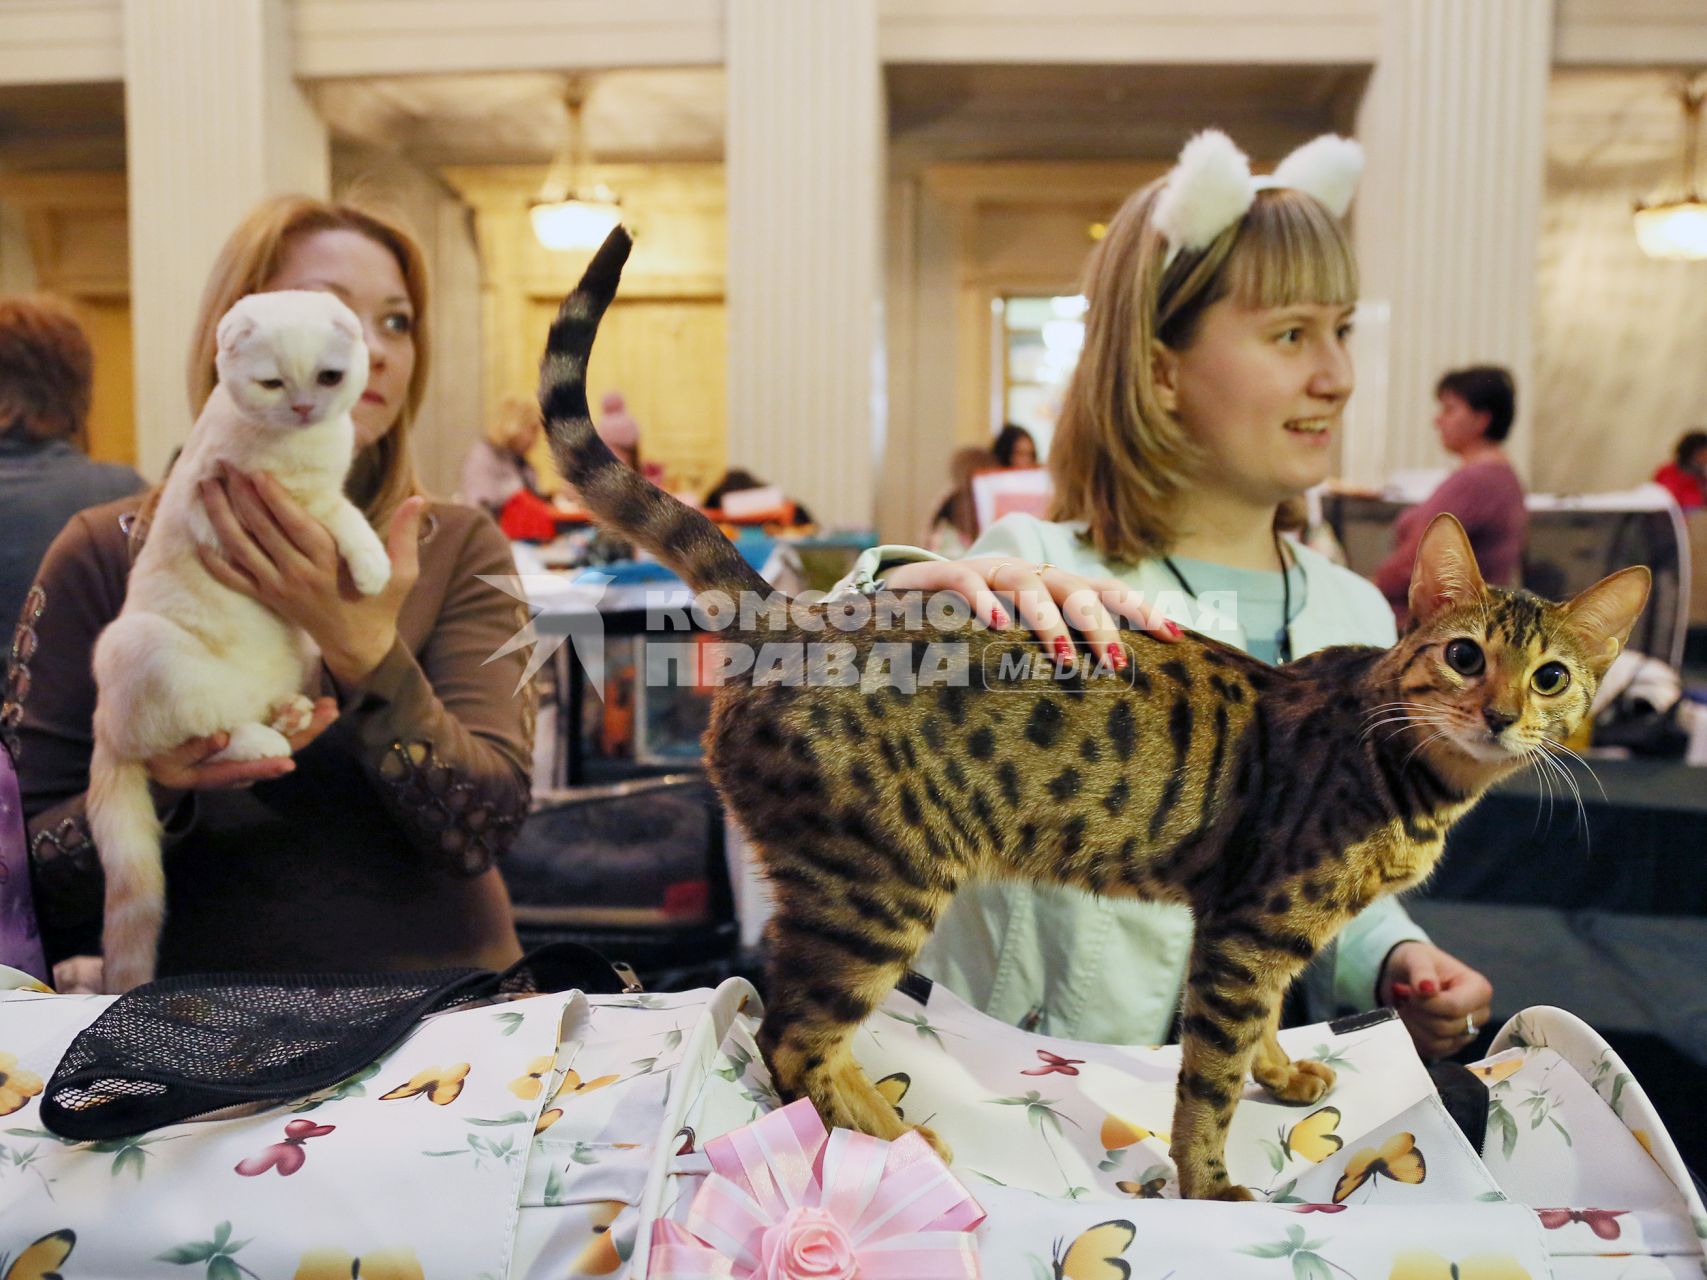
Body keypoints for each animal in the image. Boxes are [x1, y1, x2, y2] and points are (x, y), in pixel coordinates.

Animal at [90, 290, 392, 989]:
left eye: (328, 377)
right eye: (273, 383)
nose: (304, 407)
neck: (307, 442)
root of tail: (104, 723)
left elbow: (343, 508)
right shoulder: (288, 501)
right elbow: (343, 515)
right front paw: (373, 564)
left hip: (296, 653)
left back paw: (291, 711)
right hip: (142, 647)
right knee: (203, 735)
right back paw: (266, 736)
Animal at [539, 230, 1645, 1201]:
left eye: (1550, 677)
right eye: (1464, 655)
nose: (1499, 713)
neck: (1415, 776)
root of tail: (796, 612)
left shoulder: (1250, 926)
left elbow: (1260, 1033)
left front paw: (1286, 1075)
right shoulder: (1249, 928)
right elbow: (1207, 1080)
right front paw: (1210, 1185)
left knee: (792, 1021)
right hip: (877, 884)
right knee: (789, 1034)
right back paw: (902, 1140)